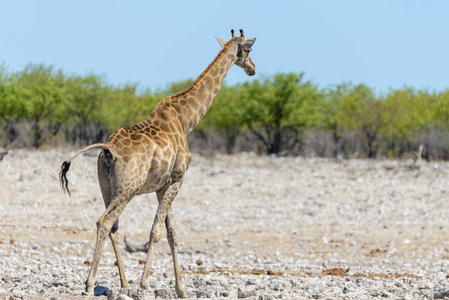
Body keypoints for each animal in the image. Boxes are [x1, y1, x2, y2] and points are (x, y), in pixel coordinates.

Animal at [60, 29, 256, 296]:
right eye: (248, 50)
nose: (252, 68)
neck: (186, 120)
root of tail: (109, 149)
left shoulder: (162, 185)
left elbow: (172, 232)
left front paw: (181, 289)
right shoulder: (177, 178)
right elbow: (156, 230)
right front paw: (146, 283)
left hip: (106, 187)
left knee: (114, 227)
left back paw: (123, 283)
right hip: (128, 188)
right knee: (105, 222)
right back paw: (90, 284)